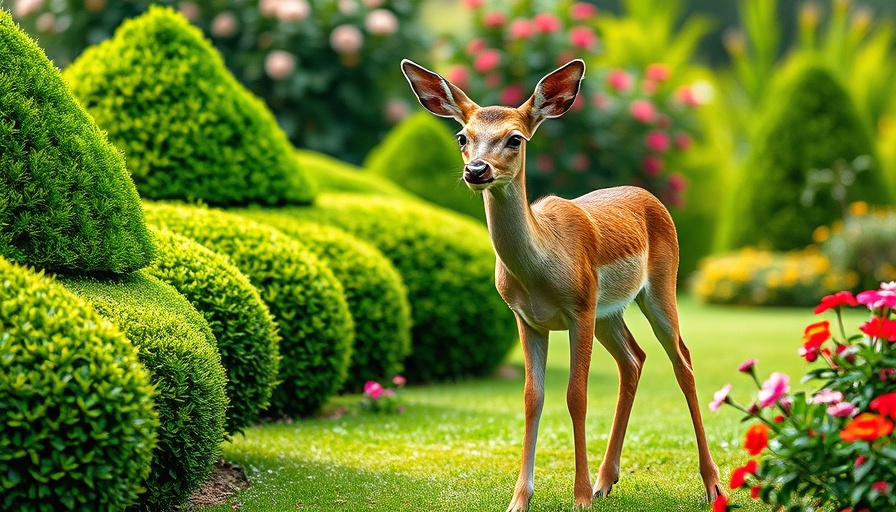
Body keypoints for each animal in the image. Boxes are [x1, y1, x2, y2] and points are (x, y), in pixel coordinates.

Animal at [402, 58, 724, 510]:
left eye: (515, 139)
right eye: (462, 136)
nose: (476, 170)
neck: (540, 268)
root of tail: (650, 196)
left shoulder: (578, 310)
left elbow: (576, 396)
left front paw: (580, 497)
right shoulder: (527, 319)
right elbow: (531, 398)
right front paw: (520, 499)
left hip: (659, 286)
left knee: (682, 361)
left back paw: (712, 485)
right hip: (608, 311)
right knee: (634, 359)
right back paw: (607, 480)